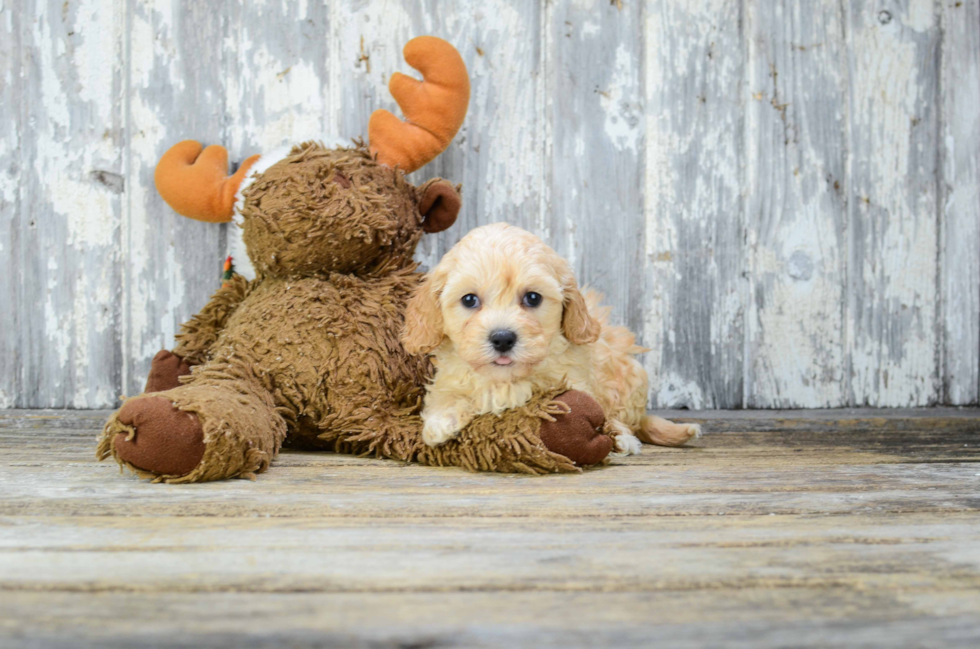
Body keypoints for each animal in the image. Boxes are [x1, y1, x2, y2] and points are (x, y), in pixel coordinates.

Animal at [402, 225, 700, 454]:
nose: (502, 339)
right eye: (469, 300)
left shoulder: (580, 381)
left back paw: (624, 438)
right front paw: (441, 421)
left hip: (627, 379)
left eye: (533, 298)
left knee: (621, 417)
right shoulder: (449, 377)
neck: (506, 379)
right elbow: (447, 394)